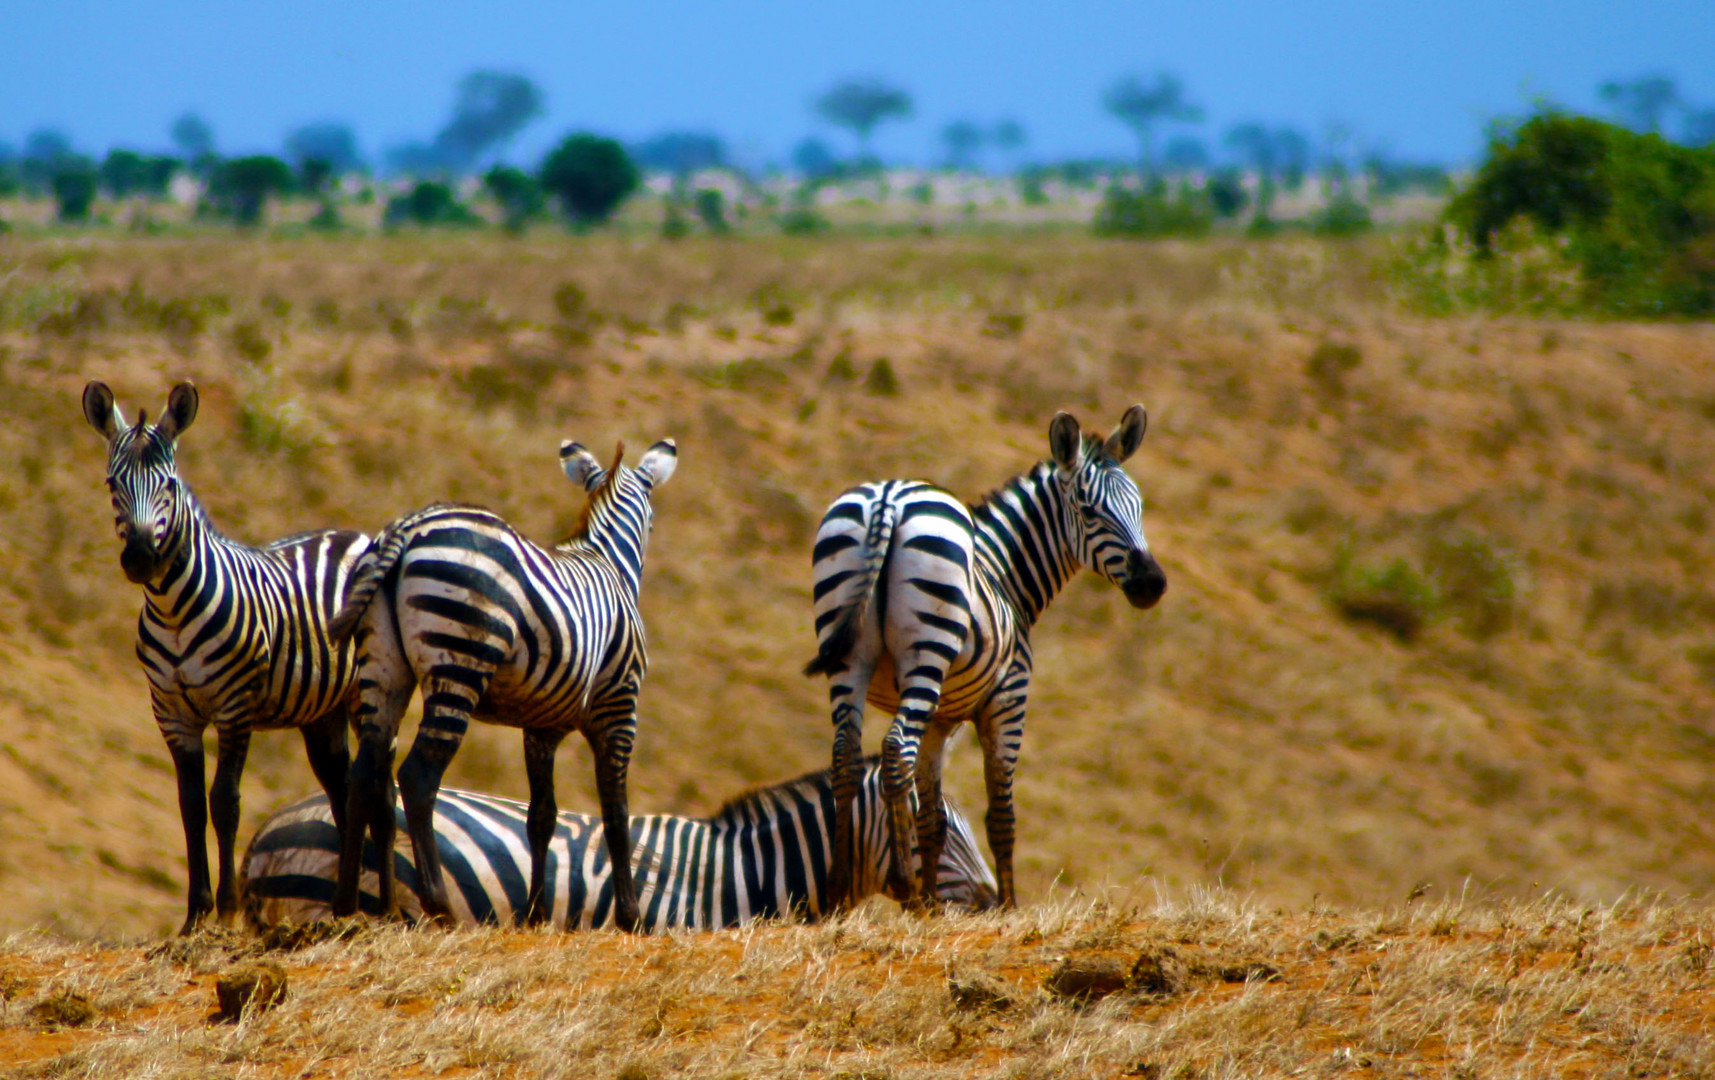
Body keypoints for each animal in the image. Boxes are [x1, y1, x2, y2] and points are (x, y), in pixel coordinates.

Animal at [79, 382, 368, 939]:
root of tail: (354, 534)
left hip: (370, 692)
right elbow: (190, 805)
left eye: (169, 485)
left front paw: (229, 911)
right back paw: (348, 906)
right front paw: (194, 915)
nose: (141, 558)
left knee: (374, 784)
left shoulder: (235, 708)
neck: (172, 608)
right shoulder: (172, 714)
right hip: (322, 711)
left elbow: (225, 802)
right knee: (342, 786)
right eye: (111, 483)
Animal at [327, 435, 675, 932]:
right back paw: (439, 904)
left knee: (365, 773)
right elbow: (616, 812)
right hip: (460, 662)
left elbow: (541, 816)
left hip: (382, 666)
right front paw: (630, 918)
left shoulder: (541, 726)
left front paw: (536, 914)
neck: (605, 561)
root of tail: (407, 529)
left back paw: (347, 904)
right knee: (417, 777)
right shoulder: (619, 707)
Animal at [802, 406, 1166, 912]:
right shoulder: (1008, 699)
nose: (1153, 584)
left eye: (1139, 507)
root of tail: (888, 498)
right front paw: (1008, 907)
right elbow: (1001, 815)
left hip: (848, 655)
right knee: (894, 749)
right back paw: (903, 882)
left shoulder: (942, 720)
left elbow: (933, 816)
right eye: (1089, 511)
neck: (1003, 570)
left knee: (845, 757)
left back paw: (839, 886)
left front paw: (933, 906)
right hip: (927, 650)